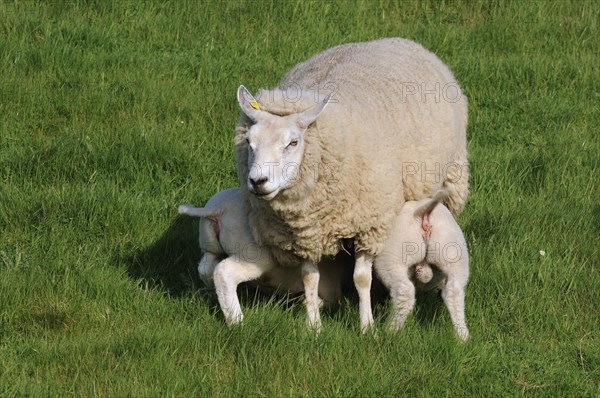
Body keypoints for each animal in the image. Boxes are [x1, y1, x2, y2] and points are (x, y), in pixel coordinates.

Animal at [176, 187, 350, 324]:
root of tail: (220, 208)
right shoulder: (331, 289)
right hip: (254, 255)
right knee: (224, 272)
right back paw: (236, 321)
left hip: (209, 244)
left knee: (205, 267)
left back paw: (213, 296)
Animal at [372, 188, 472, 340]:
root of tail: (423, 215)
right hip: (454, 256)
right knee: (454, 292)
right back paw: (462, 336)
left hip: (392, 258)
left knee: (404, 292)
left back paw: (391, 330)